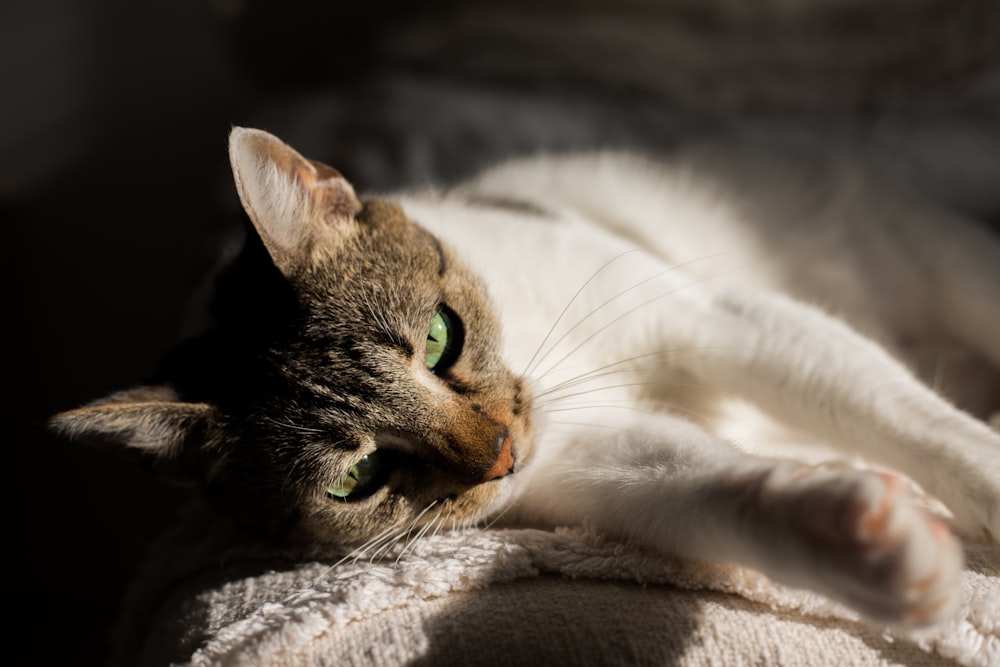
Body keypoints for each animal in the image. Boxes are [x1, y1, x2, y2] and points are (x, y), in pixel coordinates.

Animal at [48, 126, 1000, 632]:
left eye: (440, 336)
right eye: (357, 477)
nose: (502, 453)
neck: (543, 355)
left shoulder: (717, 319)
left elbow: (904, 415)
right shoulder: (606, 467)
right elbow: (733, 493)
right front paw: (872, 539)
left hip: (949, 268)